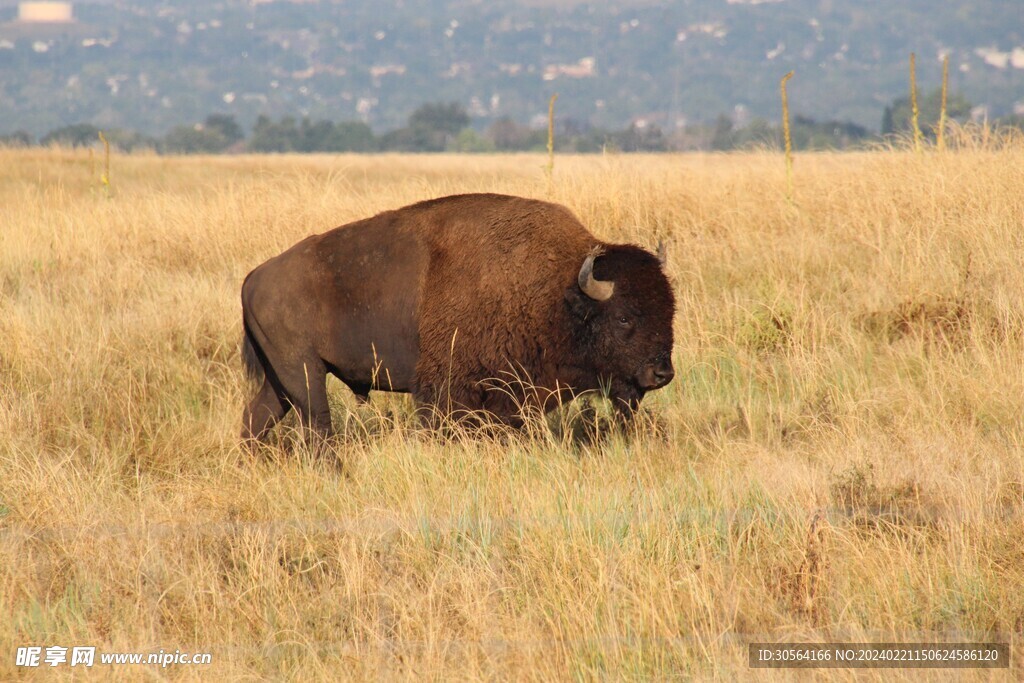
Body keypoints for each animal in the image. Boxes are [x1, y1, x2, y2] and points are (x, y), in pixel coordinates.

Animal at [238, 194, 671, 446]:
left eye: (670, 310)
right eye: (623, 318)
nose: (662, 373)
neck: (558, 292)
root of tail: (255, 277)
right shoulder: (452, 391)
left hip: (282, 378)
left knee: (258, 416)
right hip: (304, 372)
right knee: (317, 424)